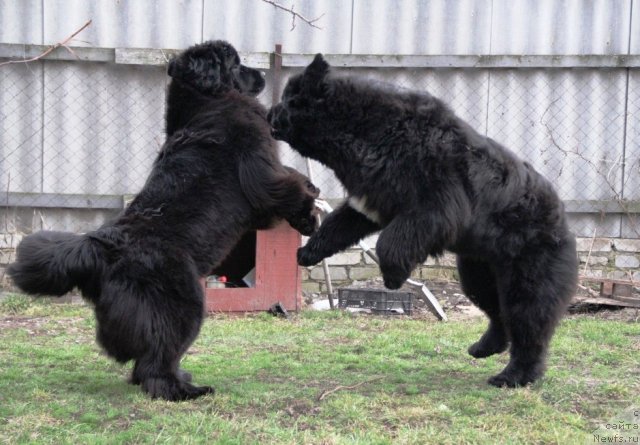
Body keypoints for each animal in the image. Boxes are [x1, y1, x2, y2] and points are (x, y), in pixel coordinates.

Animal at [8, 41, 318, 400]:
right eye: (236, 64)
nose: (262, 76)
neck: (207, 102)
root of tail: (102, 250)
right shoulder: (259, 170)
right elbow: (287, 184)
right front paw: (309, 216)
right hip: (184, 304)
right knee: (155, 362)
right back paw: (184, 390)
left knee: (145, 361)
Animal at [268, 54, 576, 388]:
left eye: (290, 100)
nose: (269, 113)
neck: (368, 131)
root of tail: (563, 221)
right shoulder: (371, 199)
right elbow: (341, 224)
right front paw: (307, 252)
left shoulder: (435, 202)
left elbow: (392, 240)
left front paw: (393, 277)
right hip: (479, 270)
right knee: (497, 312)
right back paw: (483, 347)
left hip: (528, 270)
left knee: (529, 321)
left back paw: (514, 375)